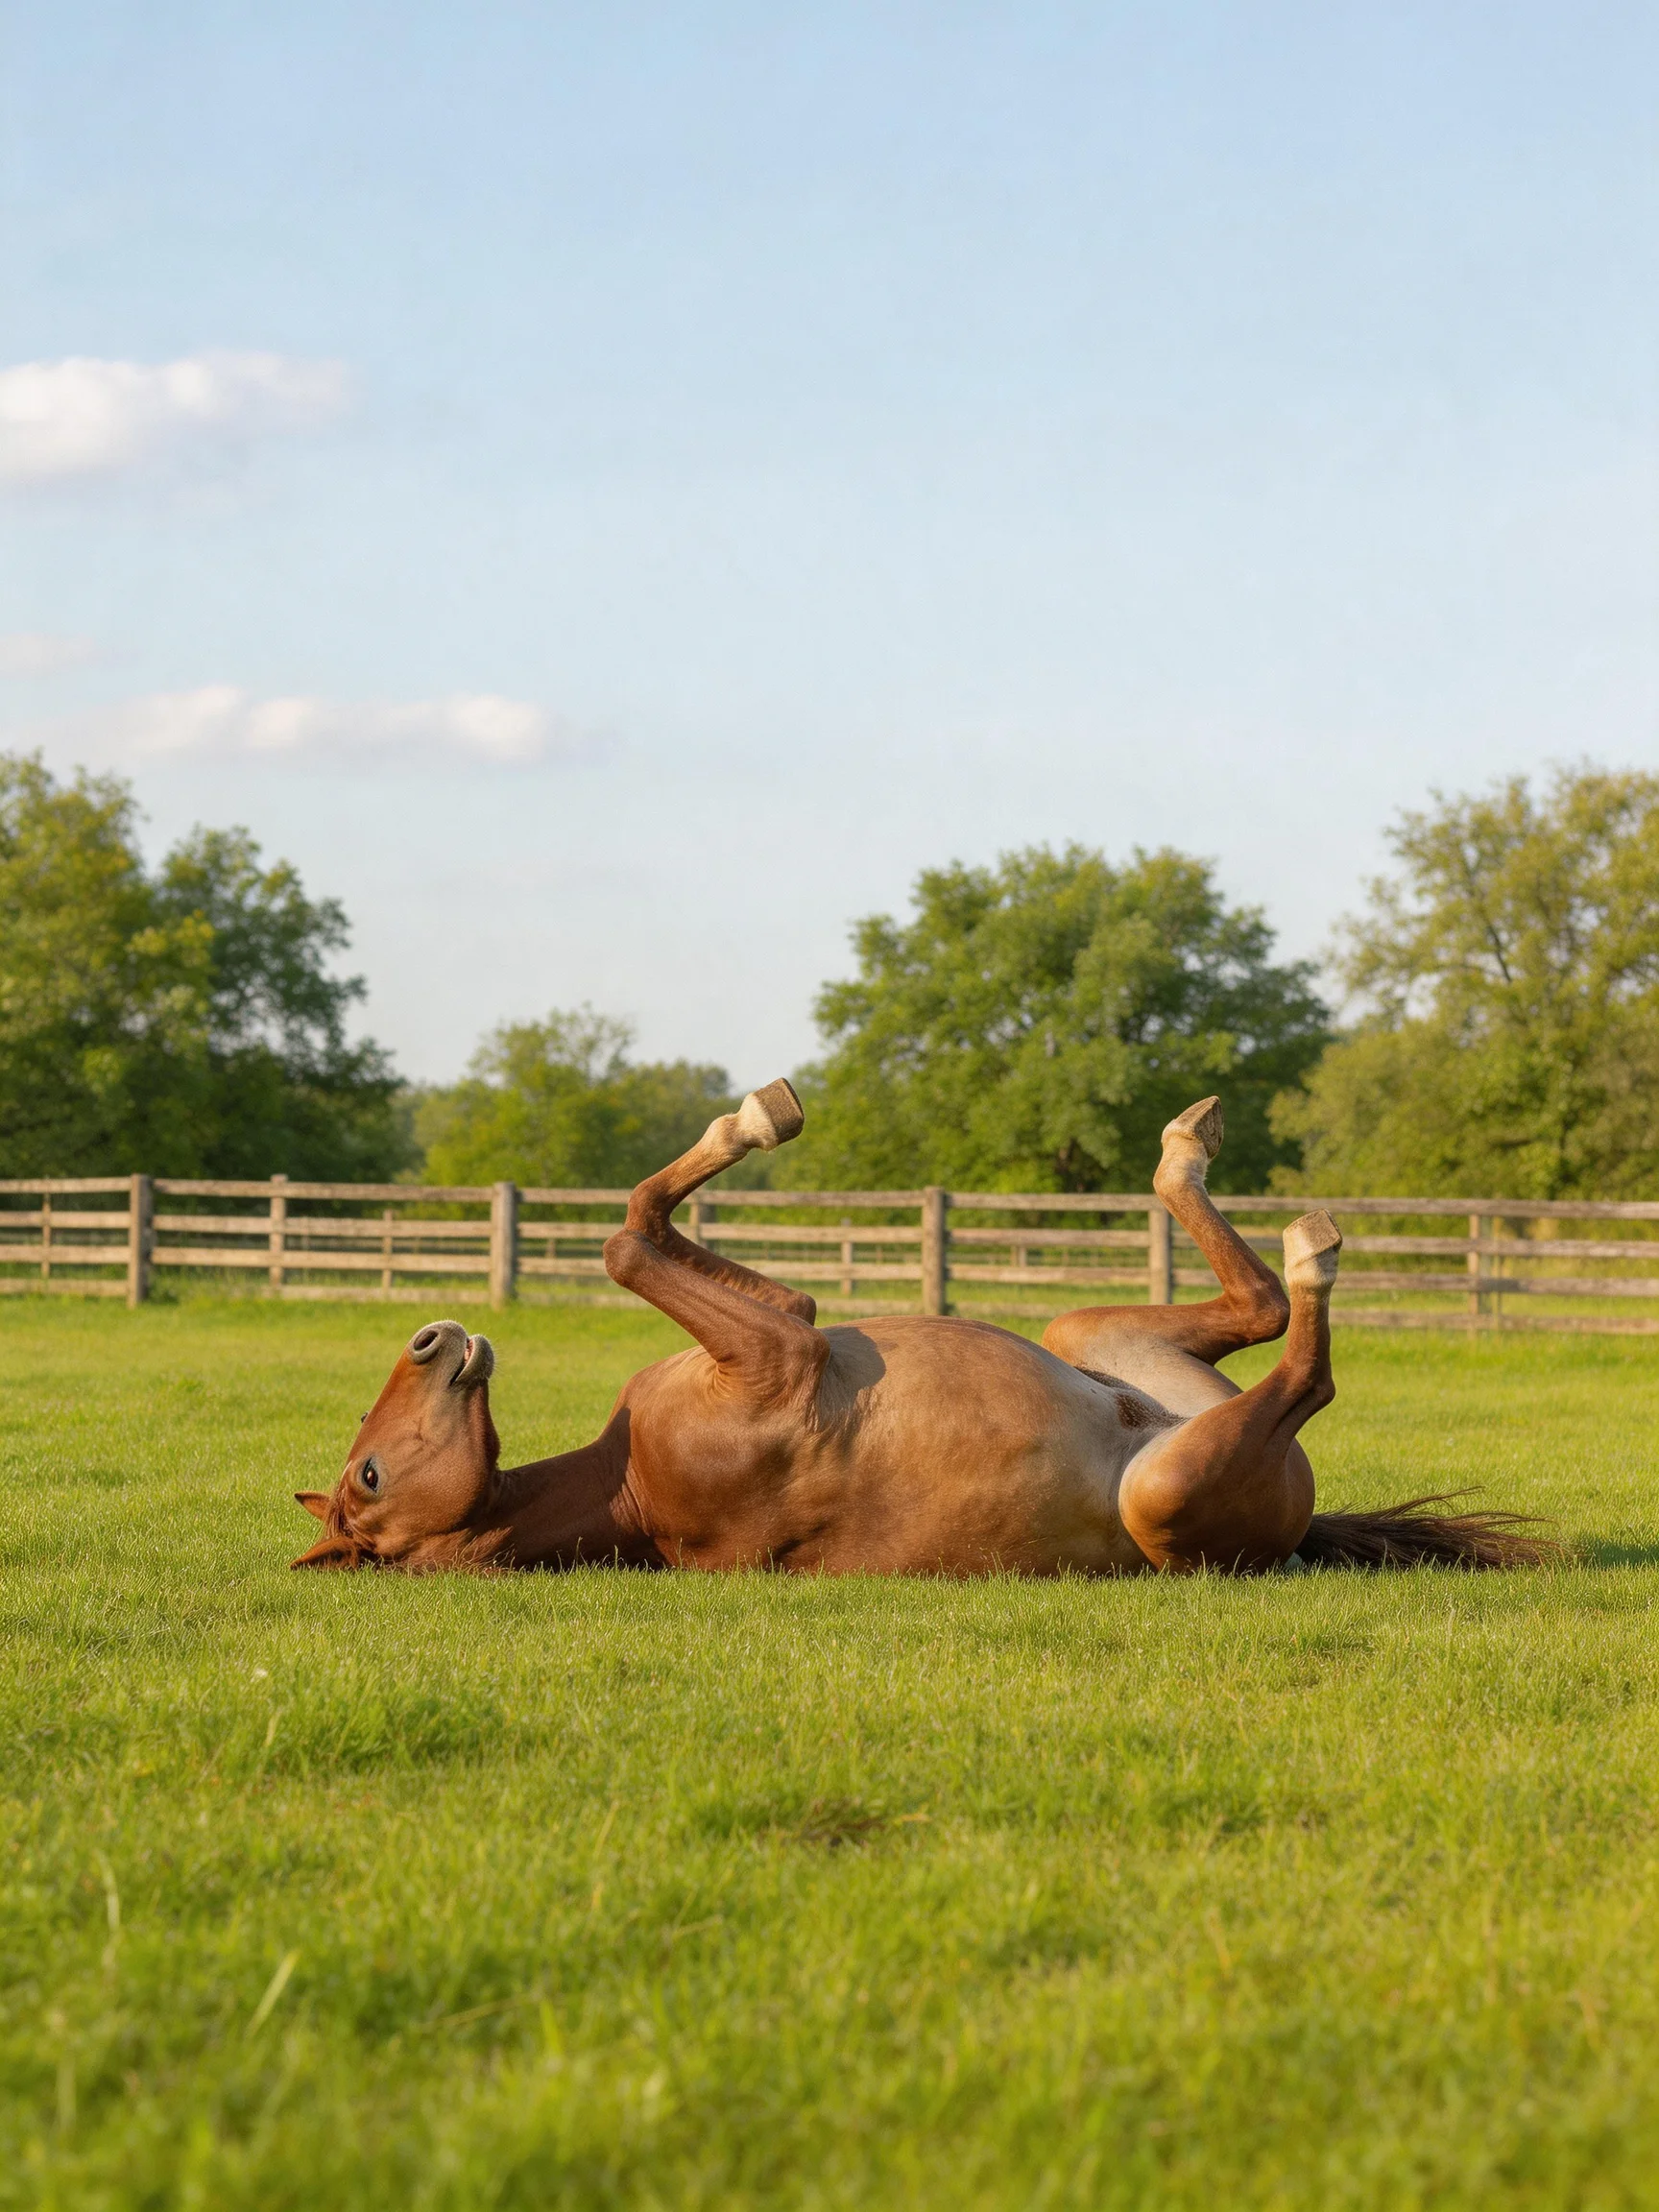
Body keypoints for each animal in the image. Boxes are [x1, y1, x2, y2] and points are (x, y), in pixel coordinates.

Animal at [292, 1086, 1553, 1575]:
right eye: (367, 1477)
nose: (431, 1339)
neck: (632, 1487)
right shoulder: (783, 1358)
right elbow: (621, 1242)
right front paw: (761, 1116)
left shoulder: (790, 1327)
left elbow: (643, 1226)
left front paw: (753, 1118)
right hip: (1174, 1491)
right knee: (1302, 1361)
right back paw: (1312, 1244)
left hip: (1094, 1336)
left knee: (1258, 1311)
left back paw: (1188, 1148)